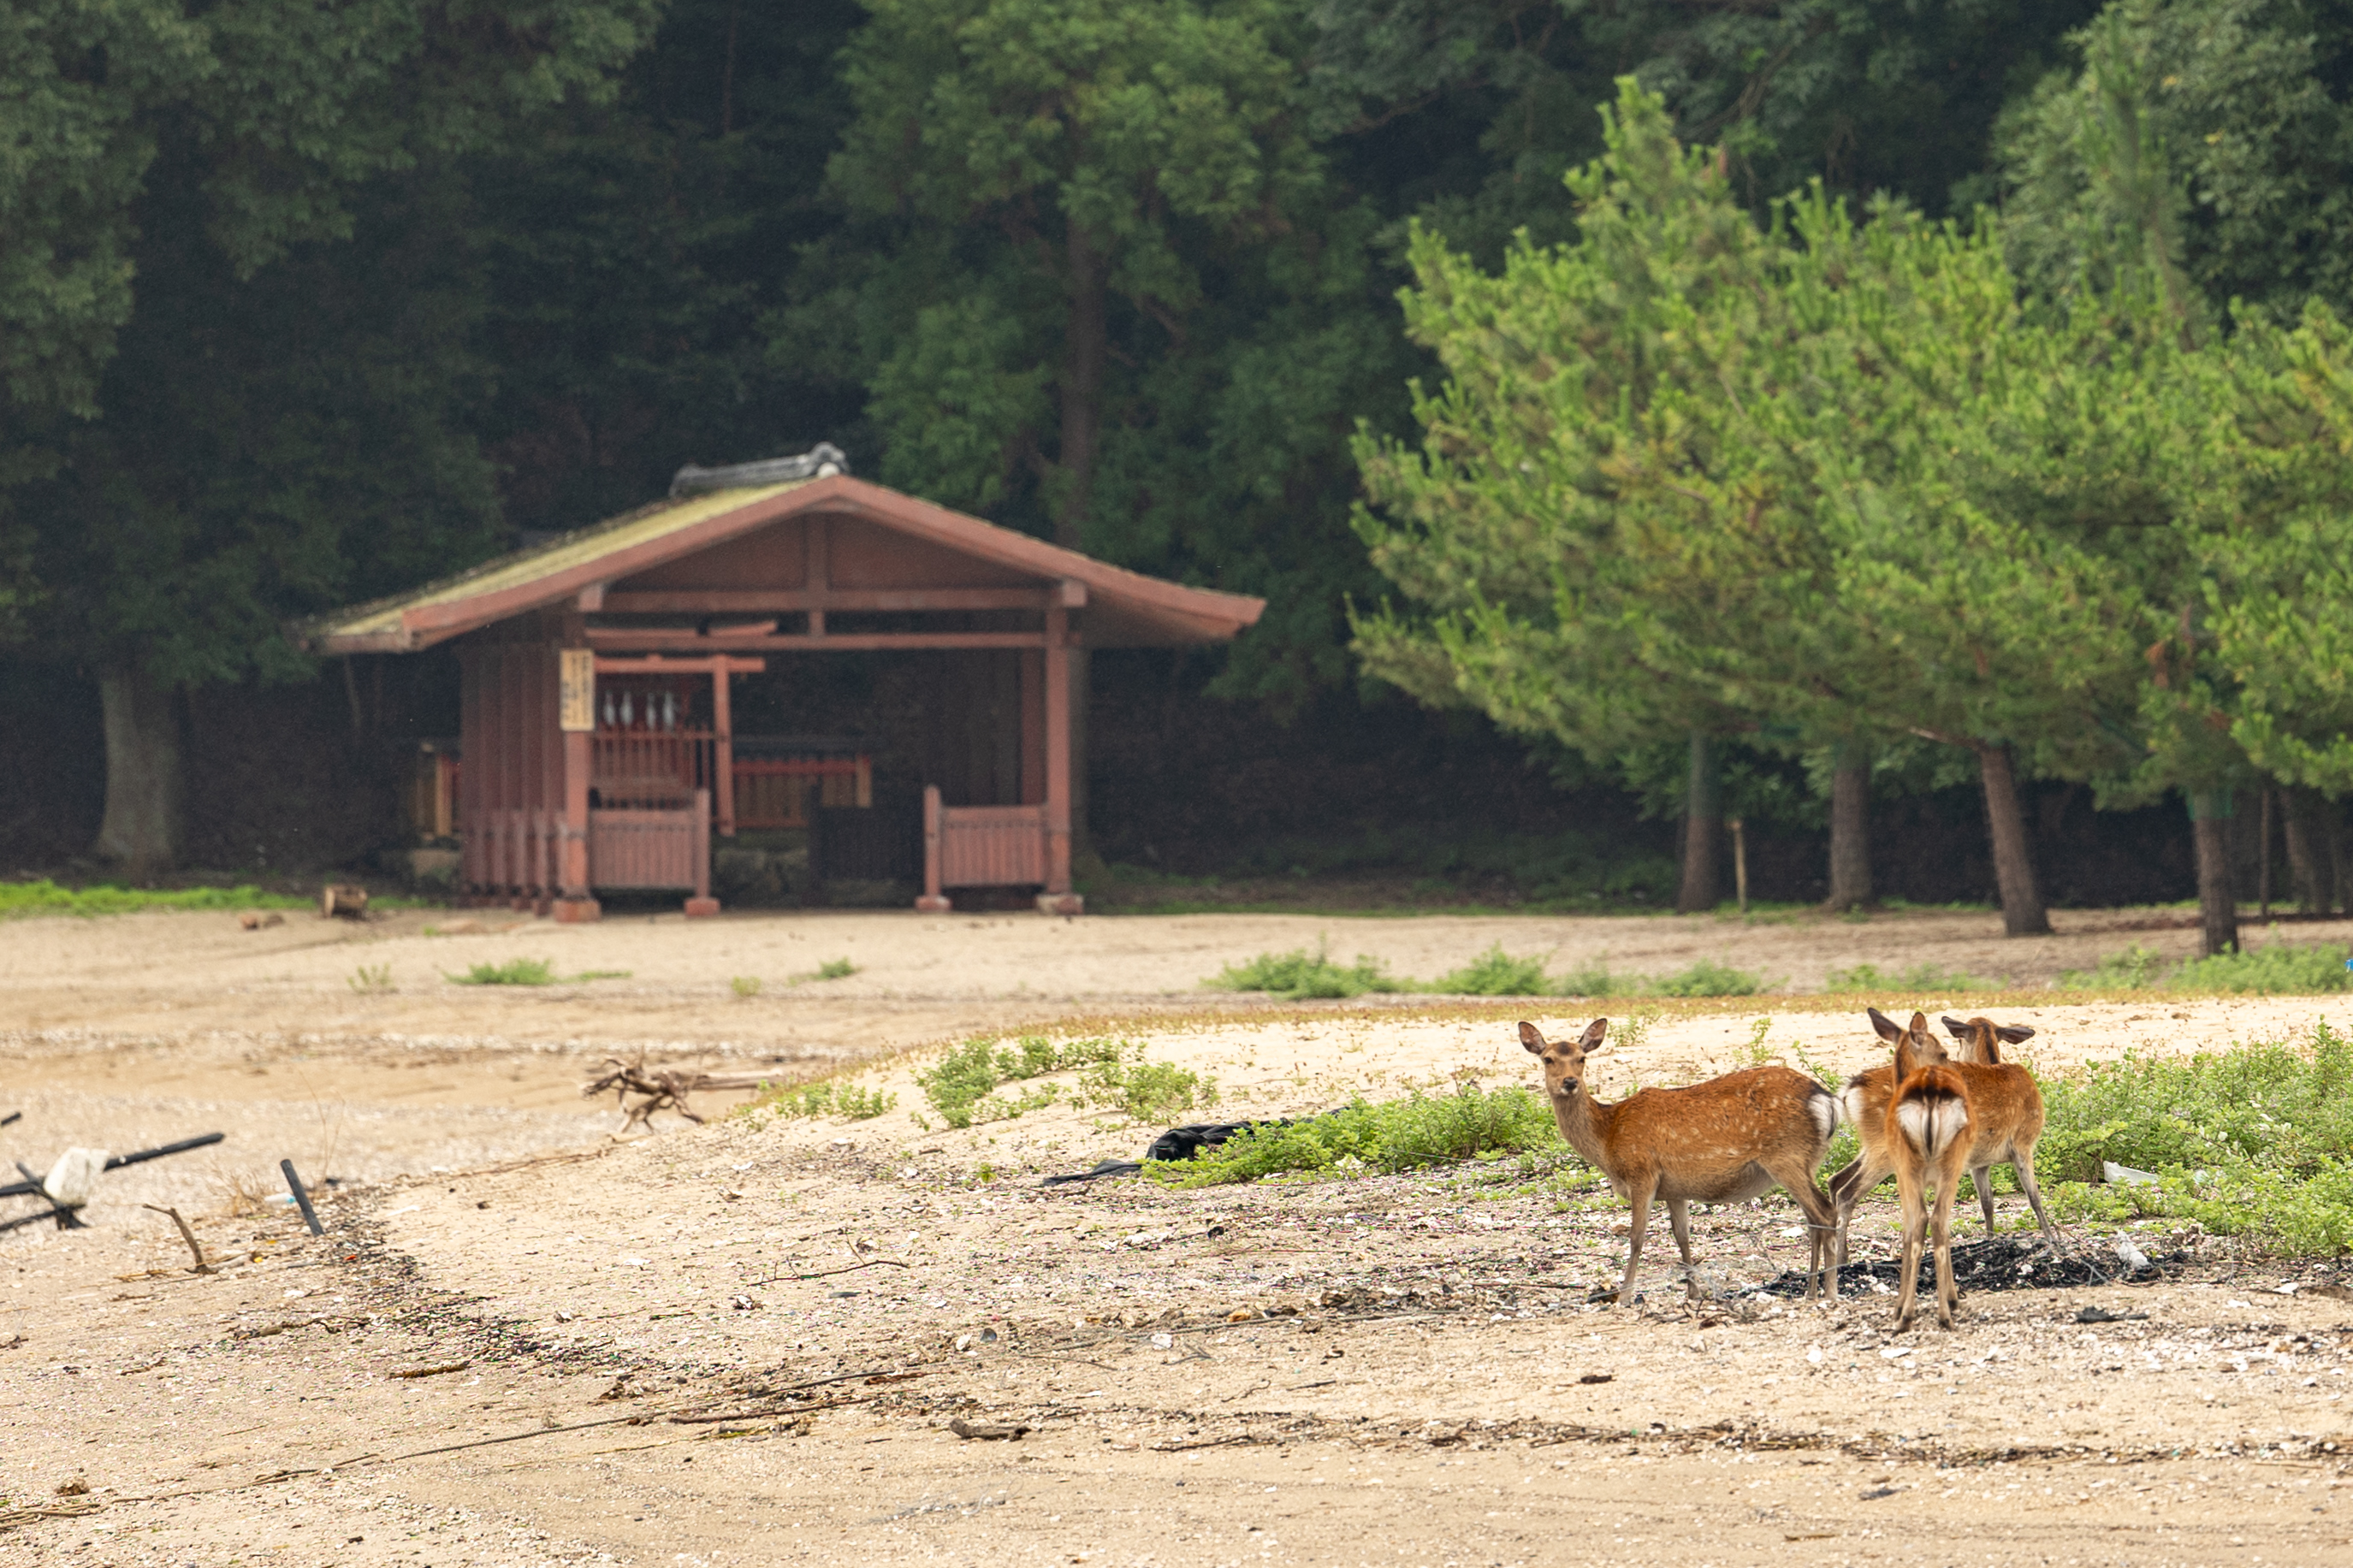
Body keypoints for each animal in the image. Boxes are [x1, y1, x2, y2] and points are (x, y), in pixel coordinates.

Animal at [1515, 1025, 1845, 1306]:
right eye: (1548, 1059)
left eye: (1581, 1058)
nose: (1569, 1082)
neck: (1608, 1139)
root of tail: (1827, 1101)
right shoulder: (1675, 1189)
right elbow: (1682, 1236)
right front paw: (1694, 1292)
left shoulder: (1642, 1172)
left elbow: (1636, 1237)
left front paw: (1625, 1296)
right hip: (1808, 1160)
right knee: (1813, 1219)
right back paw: (1811, 1292)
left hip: (1785, 1156)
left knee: (1826, 1212)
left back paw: (1830, 1293)